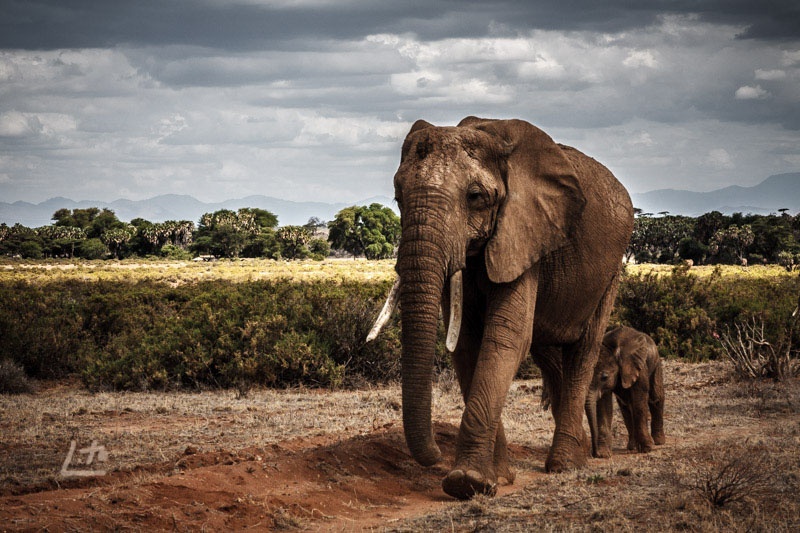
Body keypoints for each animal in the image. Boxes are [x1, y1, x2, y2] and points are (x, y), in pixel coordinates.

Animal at [368, 116, 632, 498]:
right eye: (398, 196)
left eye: (475, 197)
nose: (435, 454)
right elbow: (466, 344)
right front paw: (497, 478)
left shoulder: (524, 233)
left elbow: (505, 337)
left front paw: (466, 482)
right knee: (548, 353)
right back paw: (577, 452)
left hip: (610, 270)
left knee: (584, 349)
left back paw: (565, 464)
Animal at [584, 324, 664, 458]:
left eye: (604, 377)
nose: (595, 454)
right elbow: (603, 405)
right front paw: (604, 454)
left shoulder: (638, 367)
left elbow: (639, 402)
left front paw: (647, 448)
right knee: (626, 406)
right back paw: (632, 446)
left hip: (656, 363)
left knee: (656, 398)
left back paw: (658, 442)